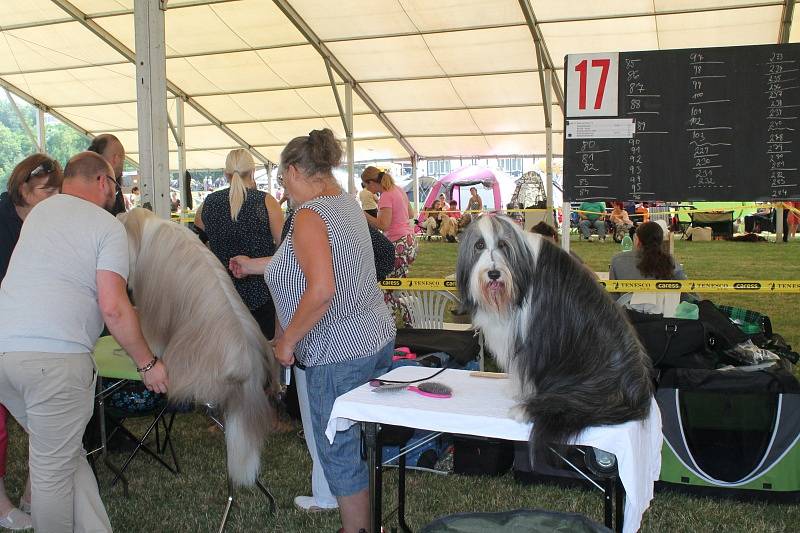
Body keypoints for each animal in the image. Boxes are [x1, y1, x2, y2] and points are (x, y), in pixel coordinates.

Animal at [460, 216, 652, 454]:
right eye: (479, 245)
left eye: (503, 245)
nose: (493, 273)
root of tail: (638, 394)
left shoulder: (534, 337)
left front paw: (523, 394)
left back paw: (525, 410)